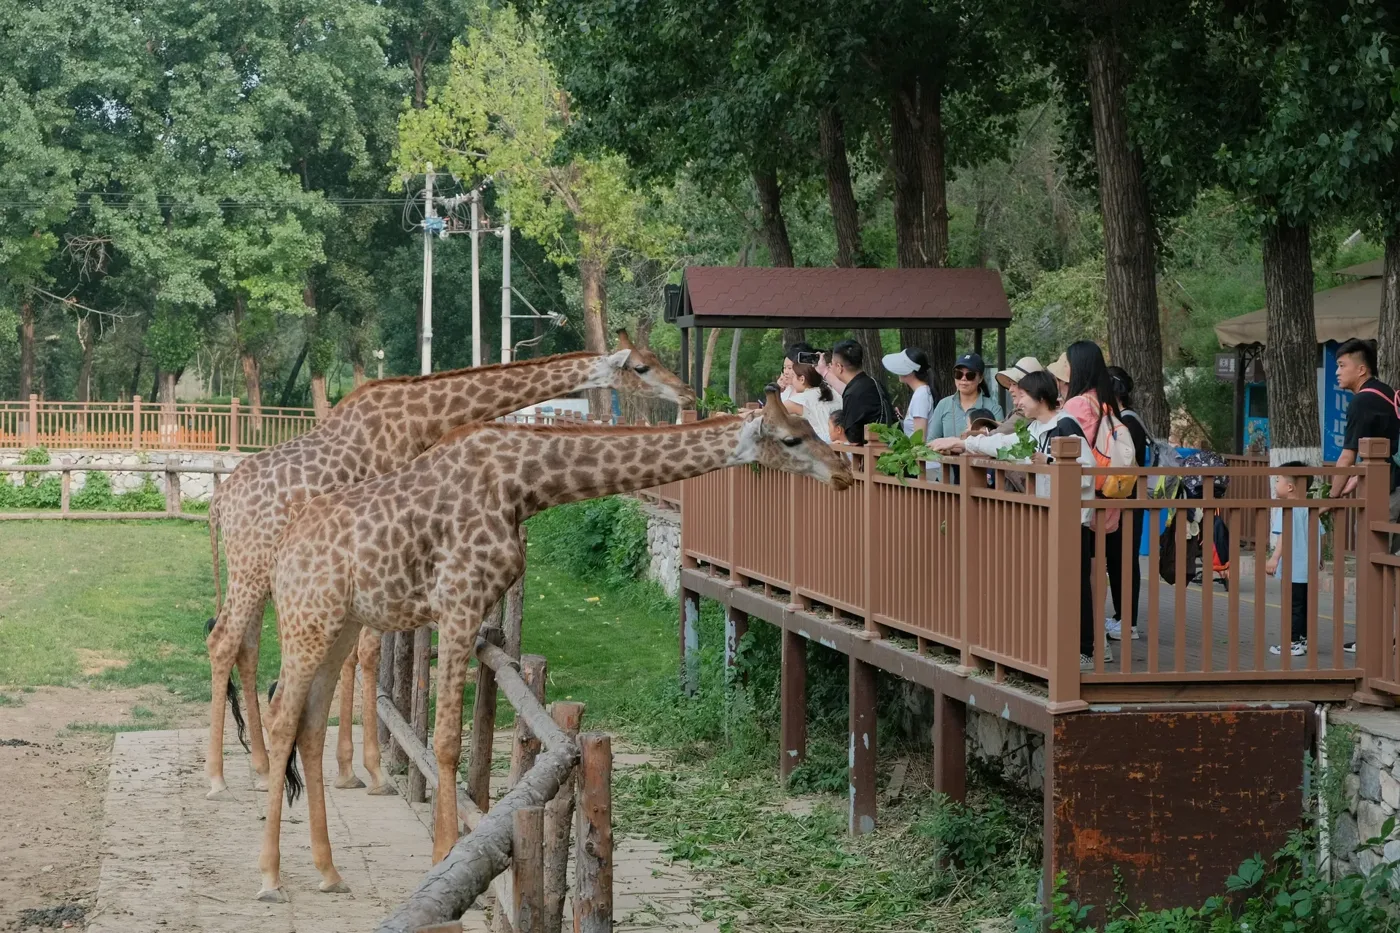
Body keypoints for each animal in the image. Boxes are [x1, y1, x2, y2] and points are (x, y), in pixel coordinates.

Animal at [203, 335, 693, 800]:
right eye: (641, 366)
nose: (687, 392)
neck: (425, 416)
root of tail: (218, 502)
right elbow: (367, 654)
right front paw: (371, 772)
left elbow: (352, 658)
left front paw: (347, 769)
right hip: (254, 568)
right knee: (223, 641)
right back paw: (219, 778)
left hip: (259, 571)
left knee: (245, 648)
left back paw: (259, 767)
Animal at [254, 390, 852, 900]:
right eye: (792, 438)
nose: (845, 472)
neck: (523, 484)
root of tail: (281, 551)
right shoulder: (458, 602)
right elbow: (446, 740)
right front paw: (444, 856)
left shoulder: (465, 609)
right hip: (309, 618)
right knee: (281, 714)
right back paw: (270, 877)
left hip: (340, 624)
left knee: (309, 721)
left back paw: (329, 872)